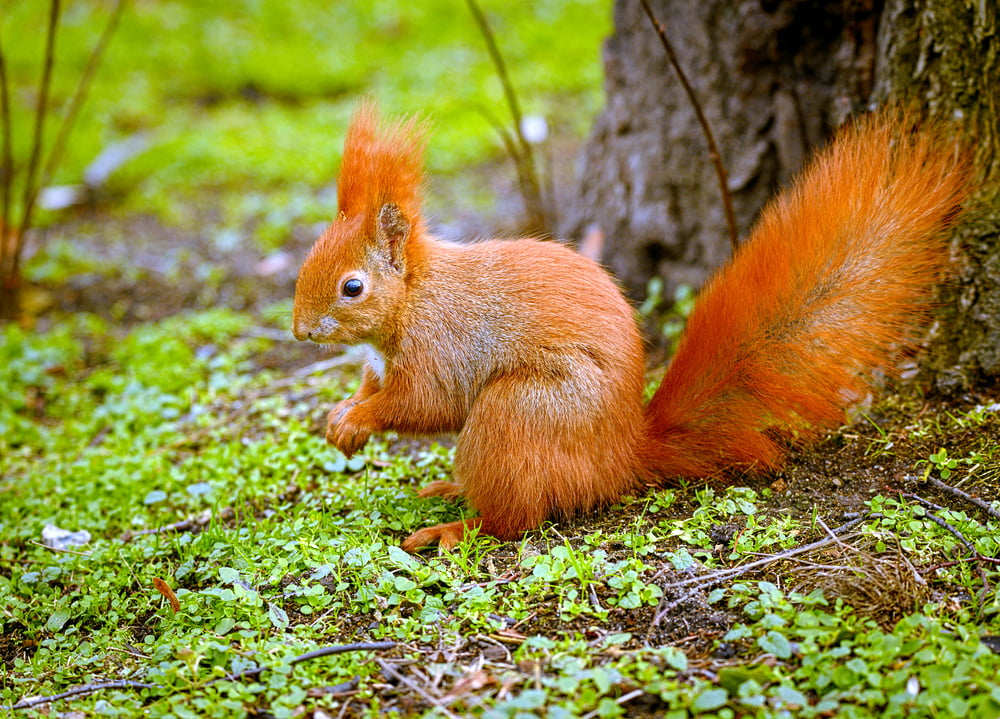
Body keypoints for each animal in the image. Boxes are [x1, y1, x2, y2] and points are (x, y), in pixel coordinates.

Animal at [292, 102, 974, 552]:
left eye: (352, 286)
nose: (300, 332)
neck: (412, 302)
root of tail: (622, 454)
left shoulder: (445, 345)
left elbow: (422, 403)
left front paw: (358, 420)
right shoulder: (381, 360)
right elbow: (374, 386)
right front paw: (342, 415)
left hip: (517, 416)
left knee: (514, 519)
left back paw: (453, 526)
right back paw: (446, 491)